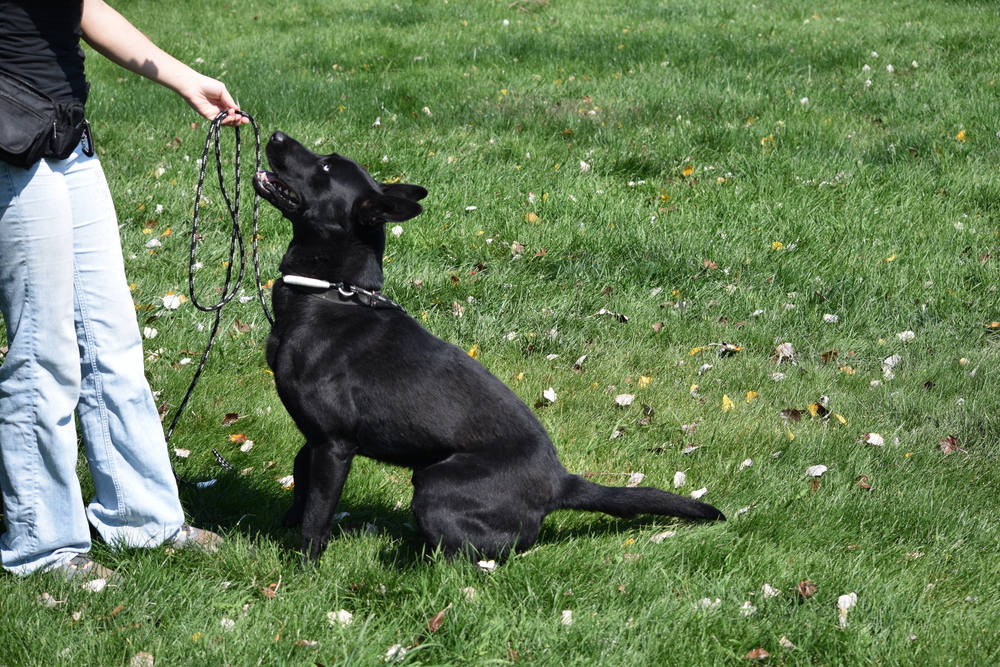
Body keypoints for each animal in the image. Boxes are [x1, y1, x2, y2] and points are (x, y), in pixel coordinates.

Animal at [249, 130, 720, 560]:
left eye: (327, 166)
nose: (274, 134)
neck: (332, 292)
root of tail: (560, 482)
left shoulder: (334, 444)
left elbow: (317, 515)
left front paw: (304, 567)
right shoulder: (314, 439)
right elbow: (300, 480)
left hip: (434, 483)